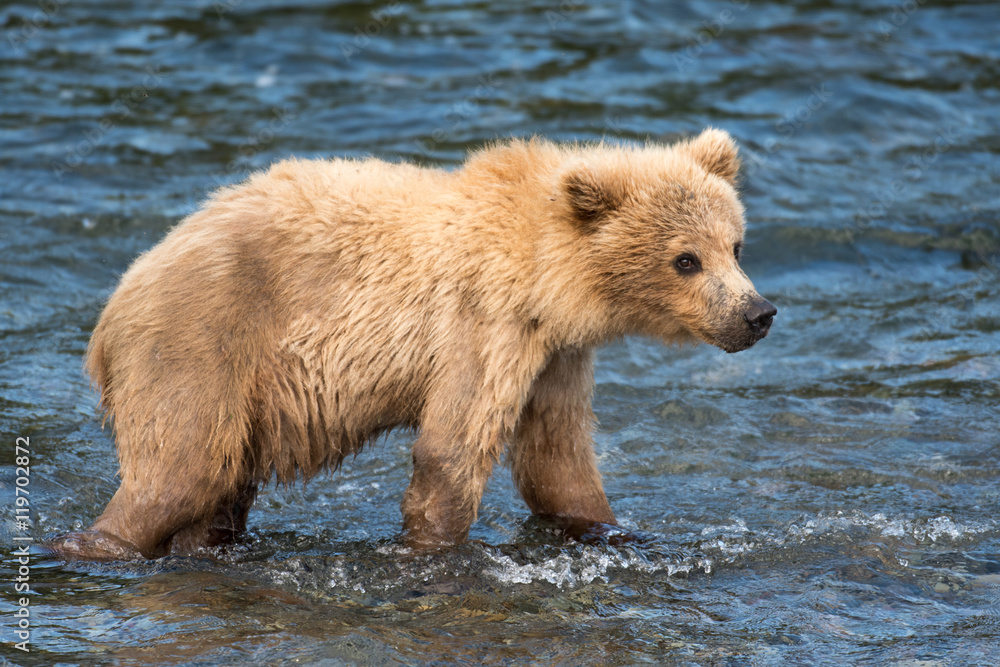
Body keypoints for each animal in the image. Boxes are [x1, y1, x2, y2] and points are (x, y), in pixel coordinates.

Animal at [52, 128, 775, 560]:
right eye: (686, 259)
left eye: (736, 244)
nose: (758, 312)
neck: (545, 276)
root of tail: (115, 303)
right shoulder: (483, 323)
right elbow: (451, 450)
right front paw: (433, 551)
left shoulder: (555, 355)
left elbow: (558, 461)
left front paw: (622, 530)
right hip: (204, 346)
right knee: (178, 471)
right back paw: (90, 545)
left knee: (214, 493)